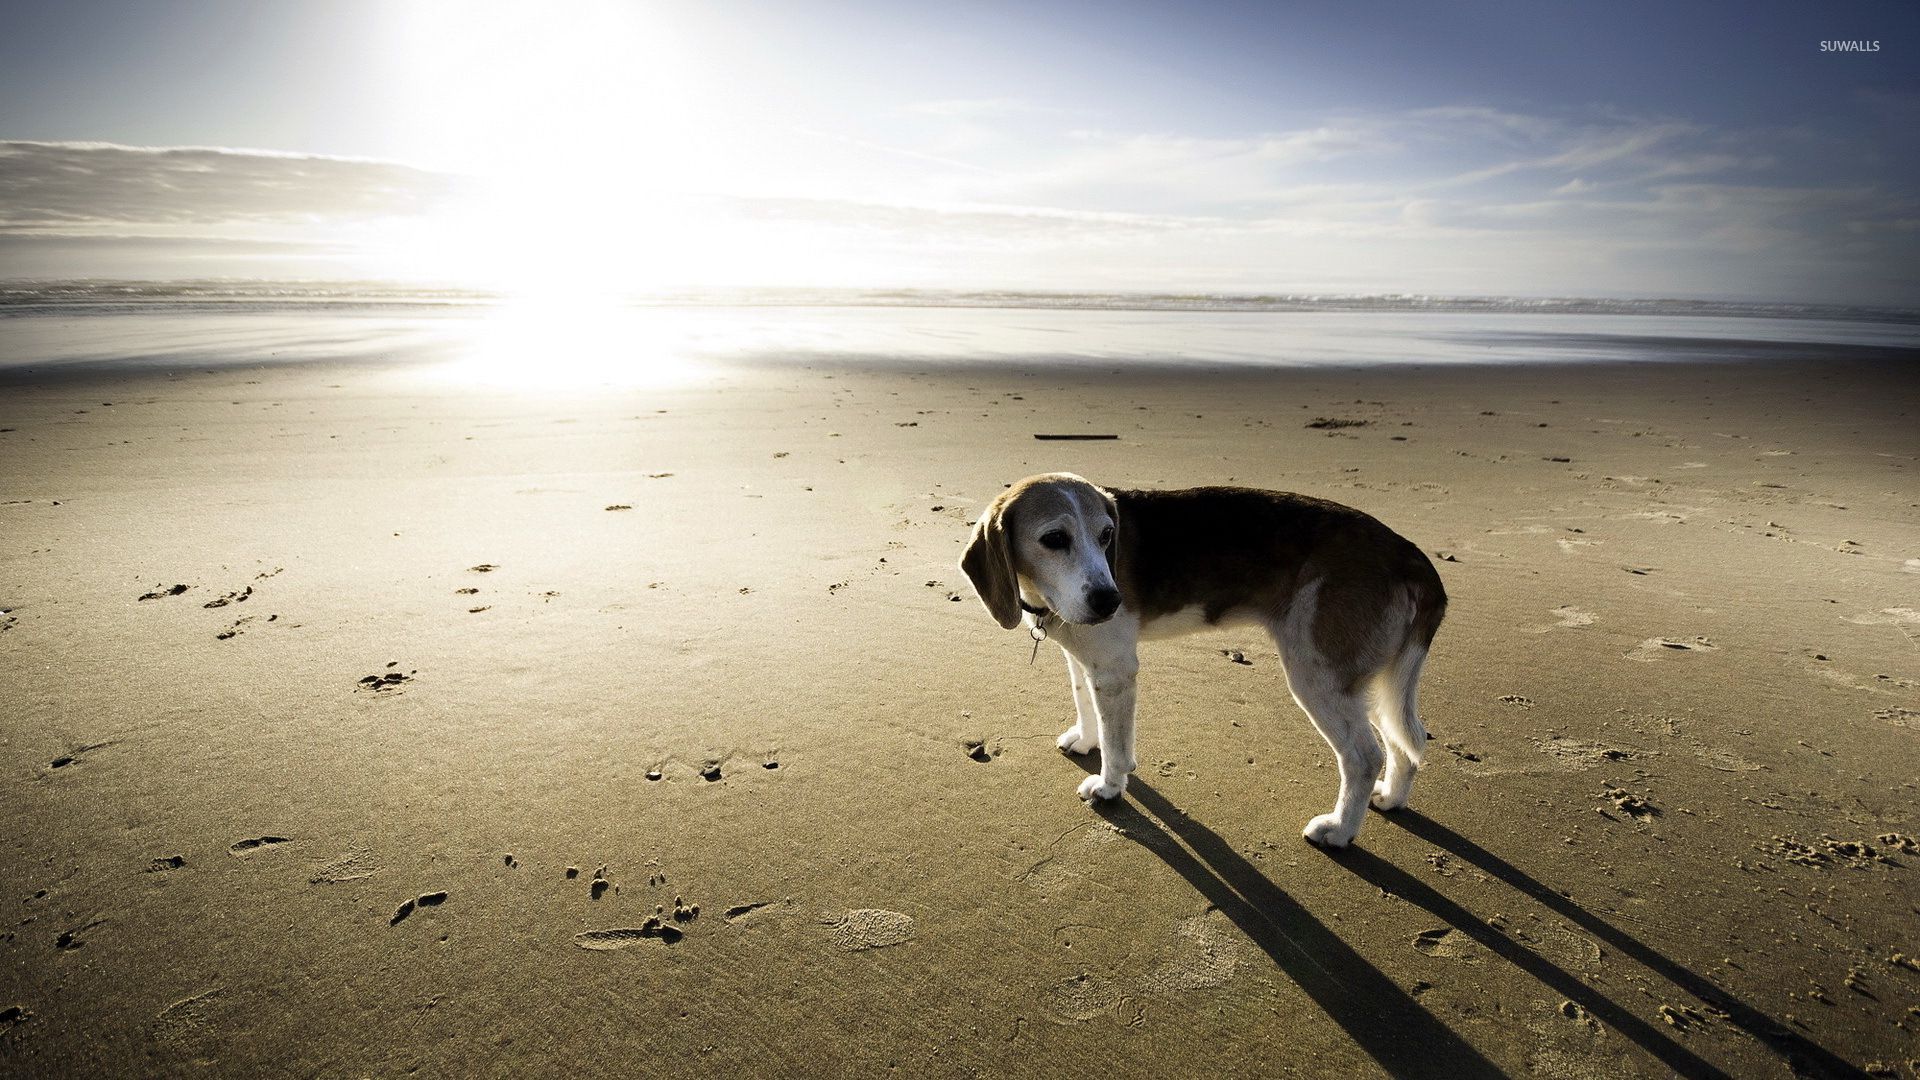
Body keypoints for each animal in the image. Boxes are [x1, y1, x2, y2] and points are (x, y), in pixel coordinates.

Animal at [967, 468, 1443, 841]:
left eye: (1107, 536)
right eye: (1053, 539)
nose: (1110, 601)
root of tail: (1407, 553)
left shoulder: (1116, 671)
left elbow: (1117, 746)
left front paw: (1109, 786)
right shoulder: (1087, 662)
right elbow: (1086, 705)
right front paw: (1086, 740)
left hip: (1319, 677)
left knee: (1364, 757)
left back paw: (1340, 830)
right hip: (1371, 684)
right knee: (1403, 743)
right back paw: (1391, 797)